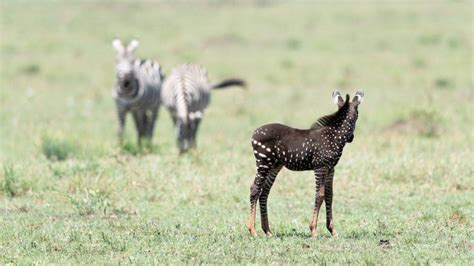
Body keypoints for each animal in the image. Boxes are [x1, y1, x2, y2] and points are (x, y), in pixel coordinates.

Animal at [246, 90, 364, 238]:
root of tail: (254, 133)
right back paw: (253, 230)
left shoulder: (331, 168)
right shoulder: (320, 167)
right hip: (263, 162)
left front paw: (332, 230)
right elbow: (320, 195)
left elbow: (329, 195)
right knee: (255, 189)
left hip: (274, 166)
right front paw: (313, 230)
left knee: (264, 192)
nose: (351, 138)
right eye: (357, 116)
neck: (333, 136)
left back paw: (267, 231)